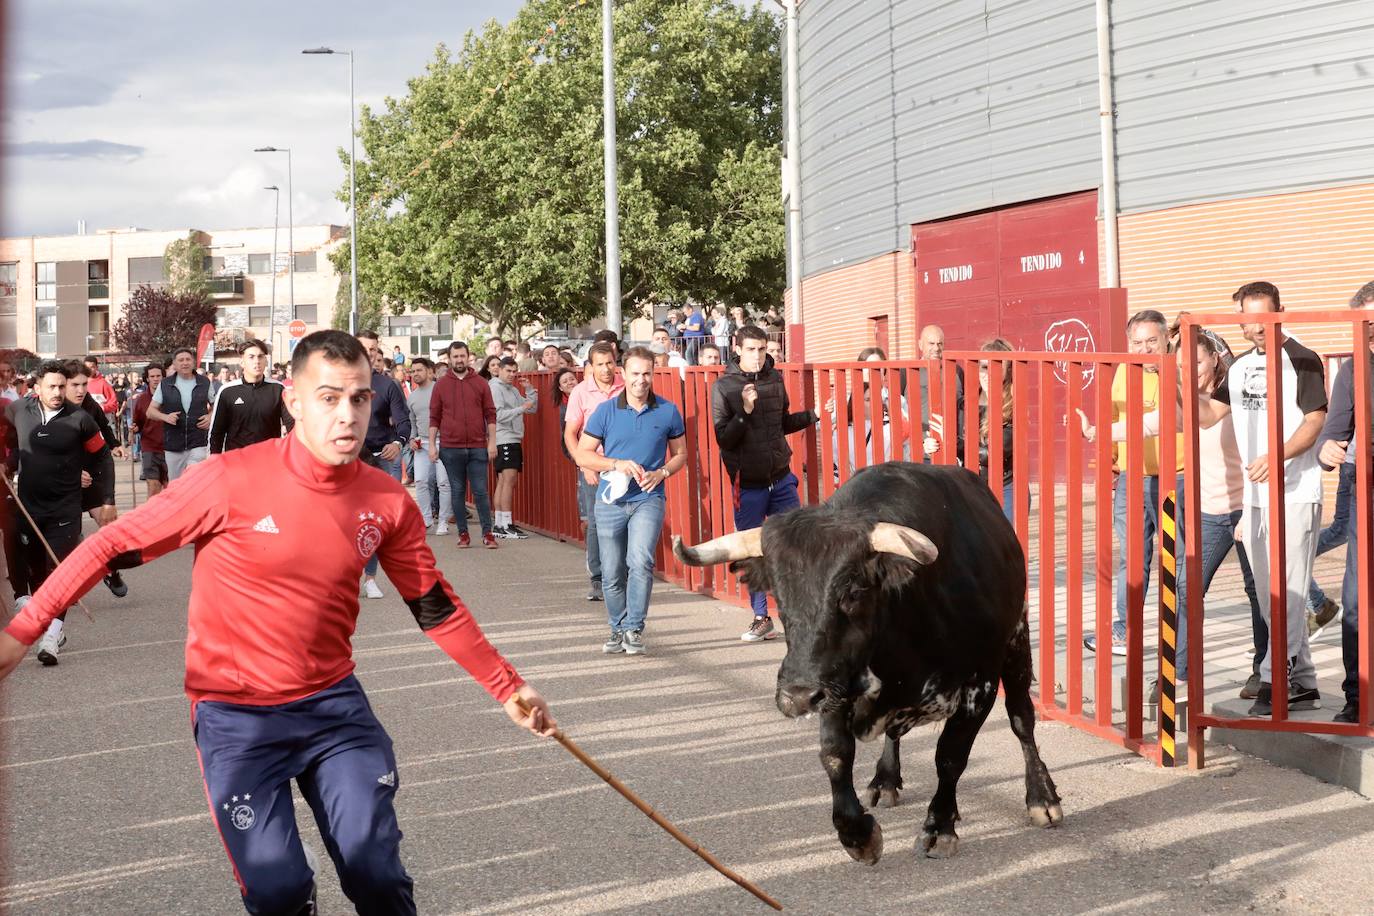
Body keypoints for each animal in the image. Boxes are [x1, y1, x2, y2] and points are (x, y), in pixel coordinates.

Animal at [676, 466, 1060, 867]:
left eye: (854, 591)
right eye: (778, 593)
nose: (797, 696)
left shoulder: (979, 686)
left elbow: (950, 756)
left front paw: (939, 827)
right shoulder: (833, 683)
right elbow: (834, 753)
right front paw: (857, 833)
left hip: (1017, 640)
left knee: (1021, 718)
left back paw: (1041, 796)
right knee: (894, 734)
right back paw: (885, 780)